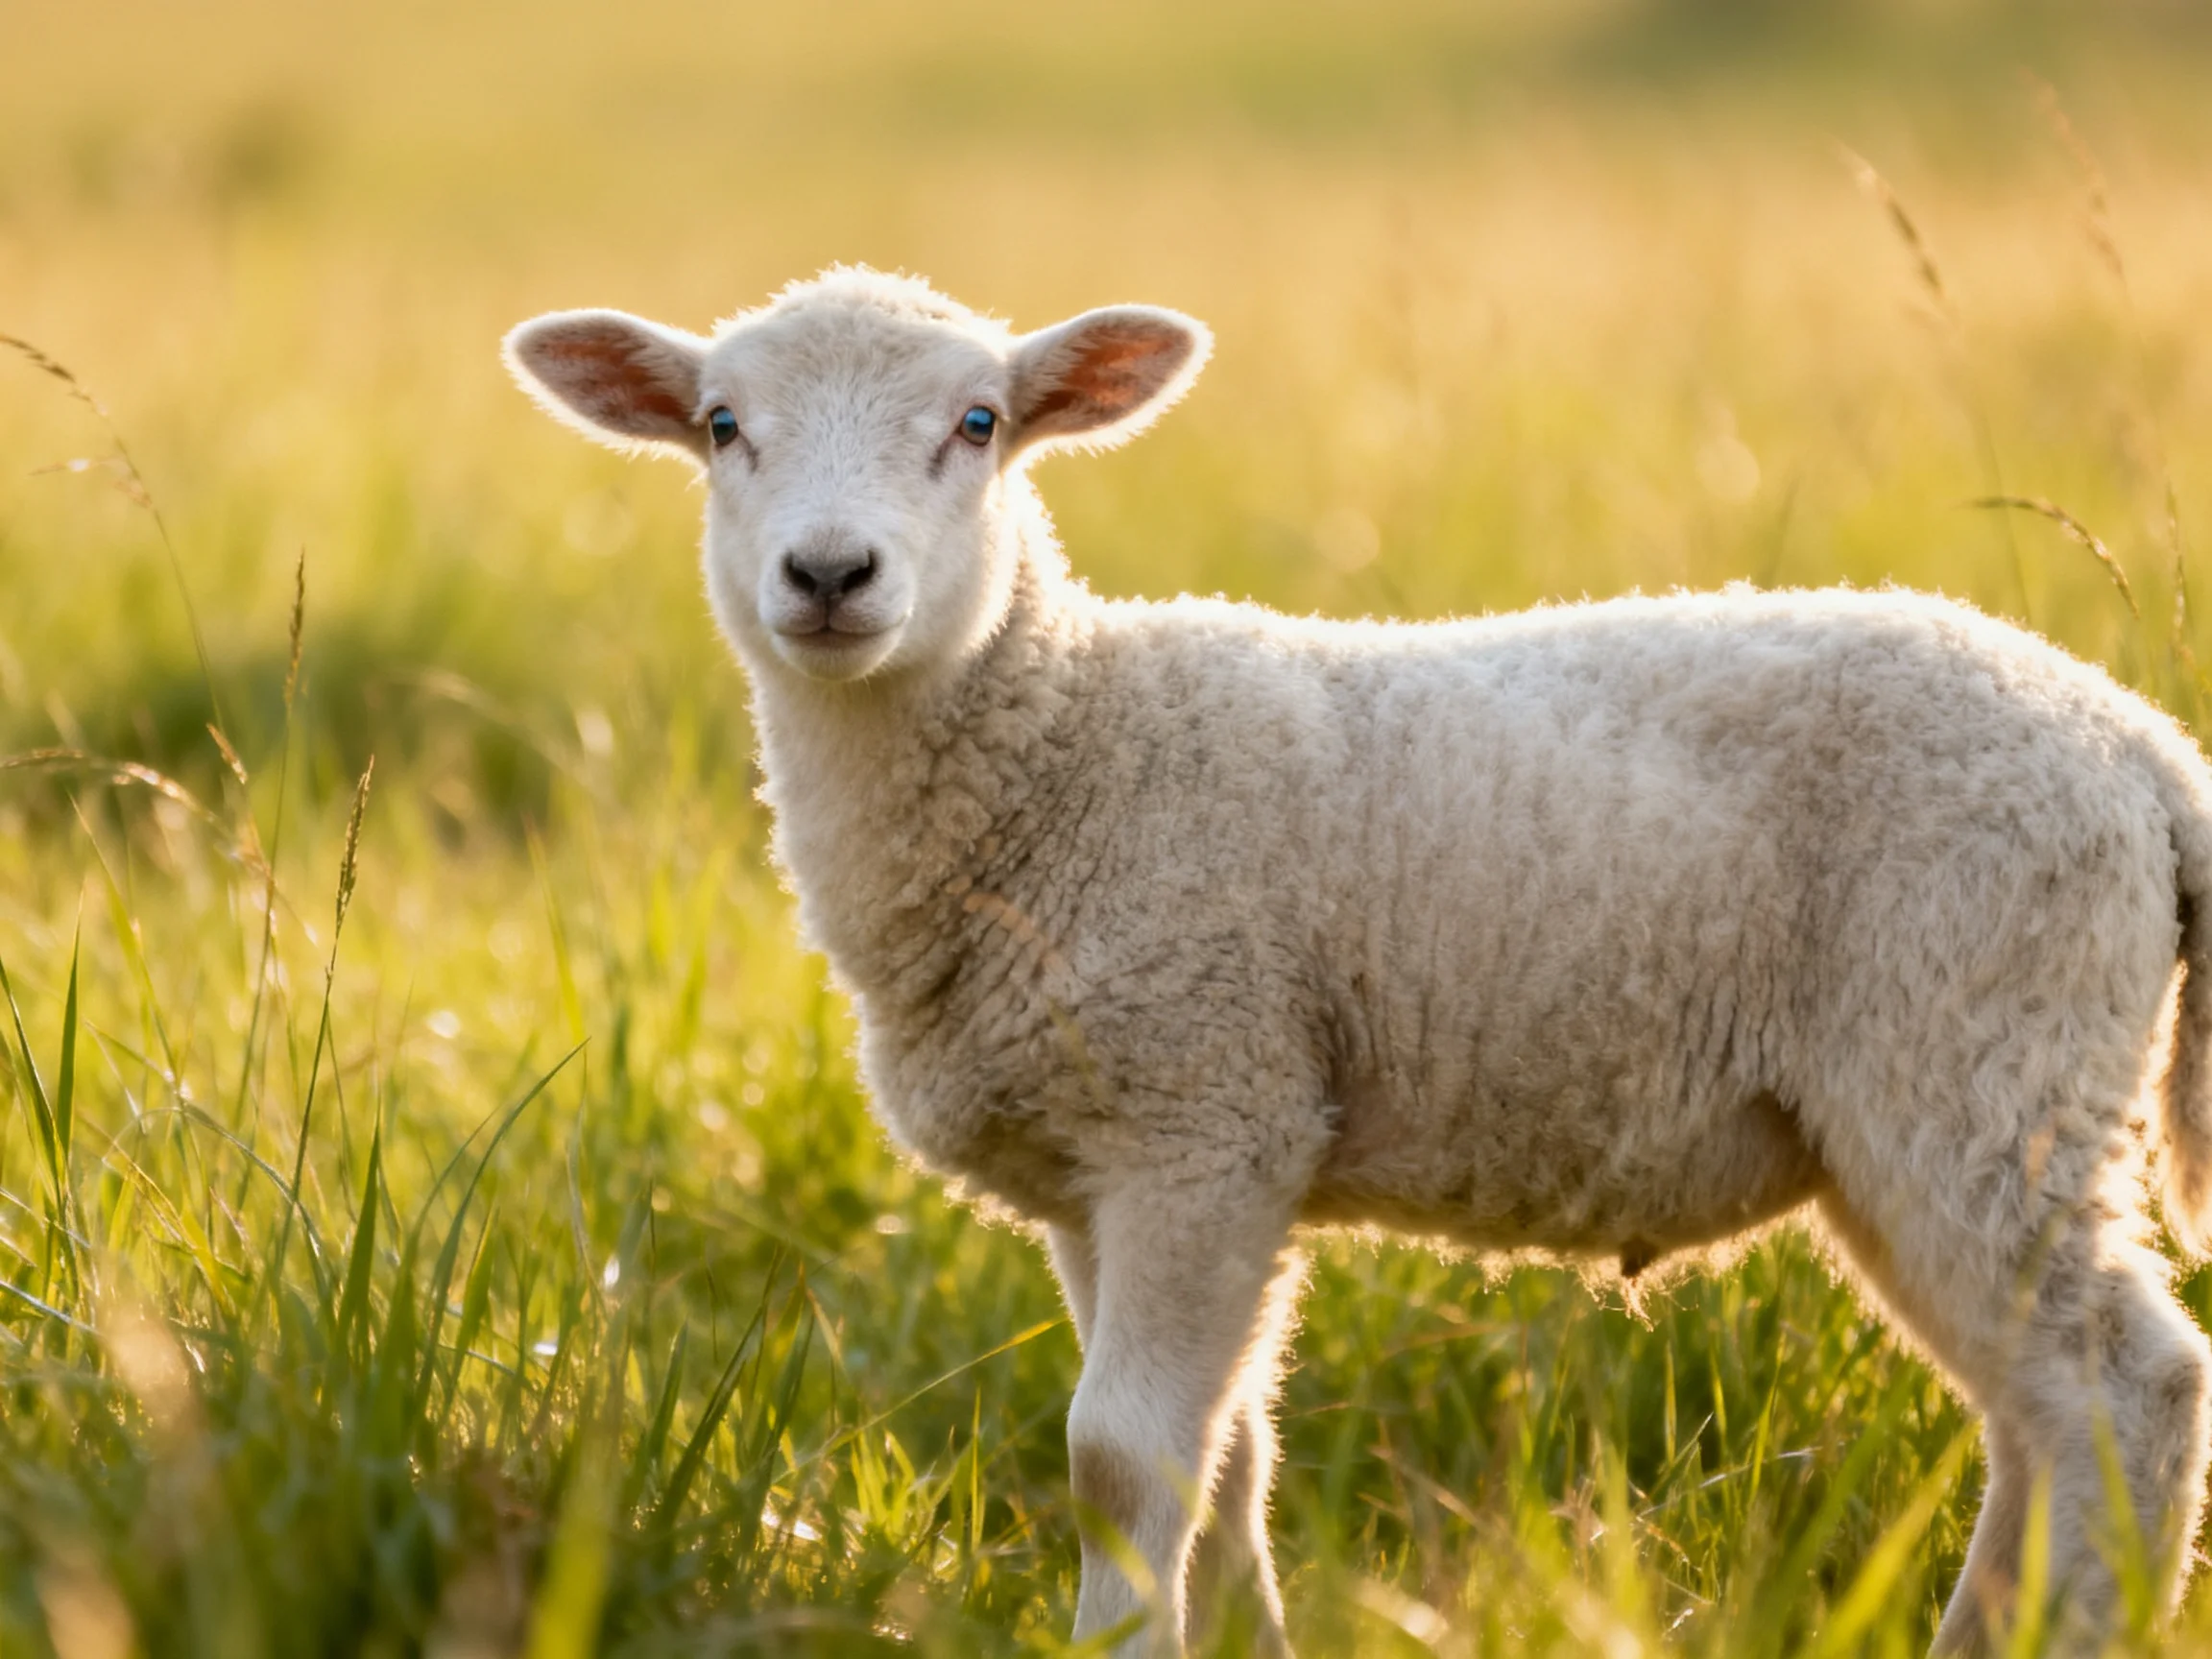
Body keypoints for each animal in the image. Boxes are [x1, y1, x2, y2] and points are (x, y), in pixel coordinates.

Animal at [505, 266, 2212, 1656]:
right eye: (723, 426)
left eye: (978, 424)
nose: (829, 576)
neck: (1070, 752)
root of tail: (2141, 750)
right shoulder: (1108, 1162)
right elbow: (1227, 1458)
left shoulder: (1208, 1114)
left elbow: (1120, 1461)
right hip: (1940, 1108)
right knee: (2032, 1415)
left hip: (1979, 1052)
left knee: (2130, 1388)